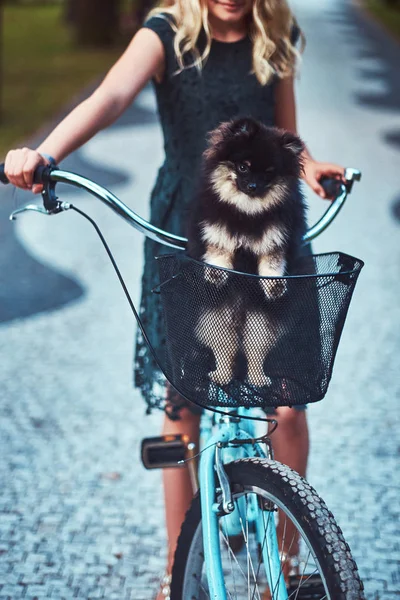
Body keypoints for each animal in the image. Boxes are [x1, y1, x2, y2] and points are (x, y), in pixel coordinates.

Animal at [187, 118, 306, 390]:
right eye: (243, 167)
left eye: (268, 173)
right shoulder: (217, 231)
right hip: (216, 317)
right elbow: (219, 251)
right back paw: (222, 375)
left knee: (255, 350)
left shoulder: (275, 239)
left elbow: (272, 261)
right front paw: (217, 274)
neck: (247, 212)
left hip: (259, 321)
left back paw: (257, 378)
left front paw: (274, 285)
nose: (253, 185)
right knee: (225, 349)